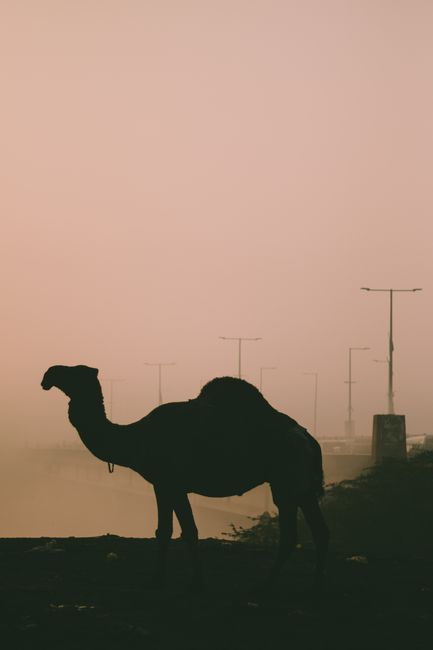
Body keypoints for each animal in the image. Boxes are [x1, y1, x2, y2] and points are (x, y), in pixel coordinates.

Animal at [41, 364, 329, 591]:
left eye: (75, 371)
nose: (48, 374)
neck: (137, 438)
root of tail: (308, 438)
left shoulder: (172, 483)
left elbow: (187, 531)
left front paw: (192, 582)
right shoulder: (163, 484)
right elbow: (165, 530)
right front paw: (161, 579)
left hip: (287, 479)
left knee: (295, 532)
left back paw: (270, 584)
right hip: (299, 485)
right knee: (316, 529)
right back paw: (312, 584)